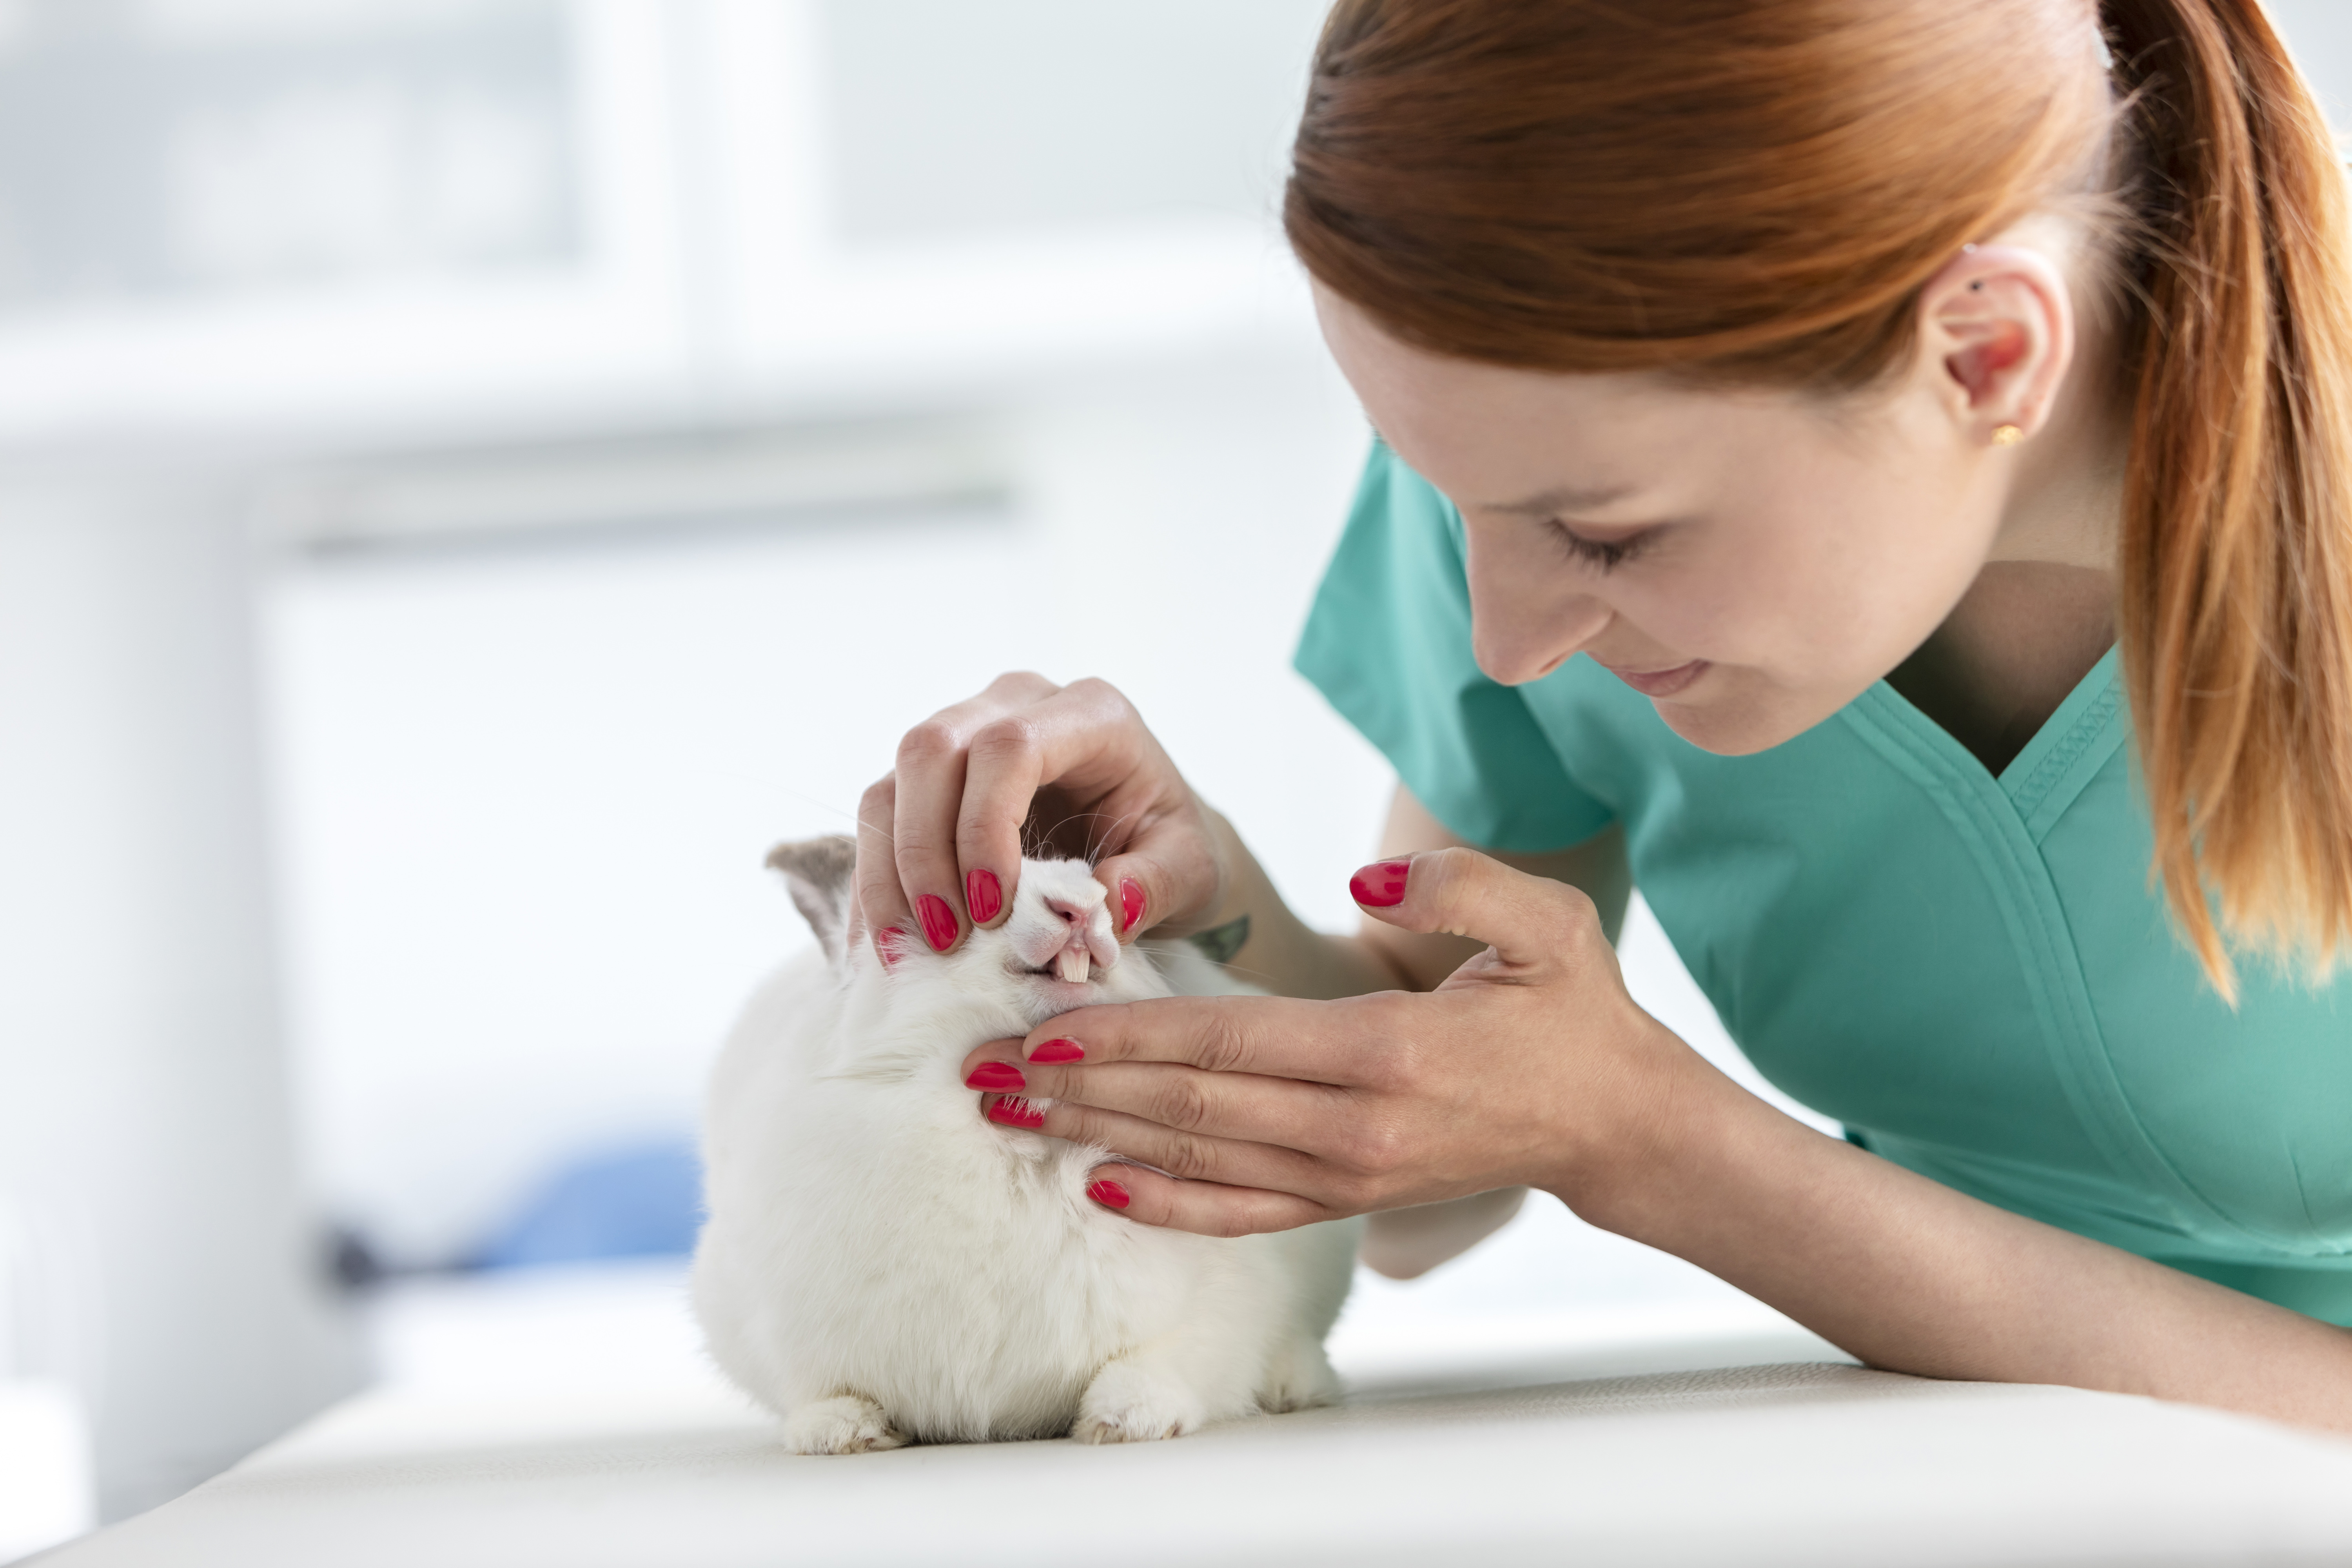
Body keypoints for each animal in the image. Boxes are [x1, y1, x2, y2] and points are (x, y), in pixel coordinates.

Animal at [690, 835, 1361, 1452]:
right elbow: (818, 1387)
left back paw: (1295, 1384)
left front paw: (1125, 1419)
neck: (1015, 1139)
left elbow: (1173, 1358)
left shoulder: (1229, 1302)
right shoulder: (762, 1320)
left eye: (1106, 895)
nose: (1081, 909)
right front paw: (841, 1432)